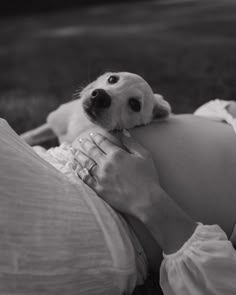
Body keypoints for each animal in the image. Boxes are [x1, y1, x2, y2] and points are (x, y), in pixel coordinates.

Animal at [21, 71, 171, 146]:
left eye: (135, 105)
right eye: (112, 79)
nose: (100, 97)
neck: (83, 124)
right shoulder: (52, 124)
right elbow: (33, 134)